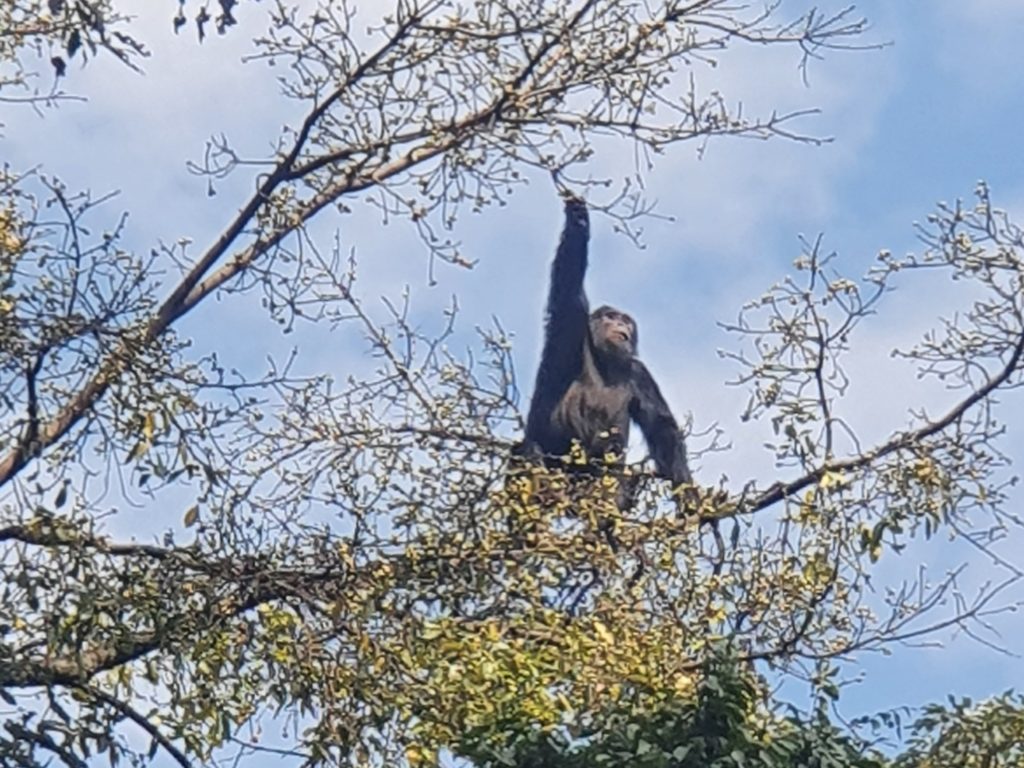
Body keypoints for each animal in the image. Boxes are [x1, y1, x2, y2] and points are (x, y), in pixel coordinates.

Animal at [520, 195, 696, 507]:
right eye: (611, 316)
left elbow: (662, 427)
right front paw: (578, 222)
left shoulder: (640, 373)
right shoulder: (570, 326)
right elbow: (570, 282)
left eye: (625, 320)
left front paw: (687, 496)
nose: (620, 324)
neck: (604, 359)